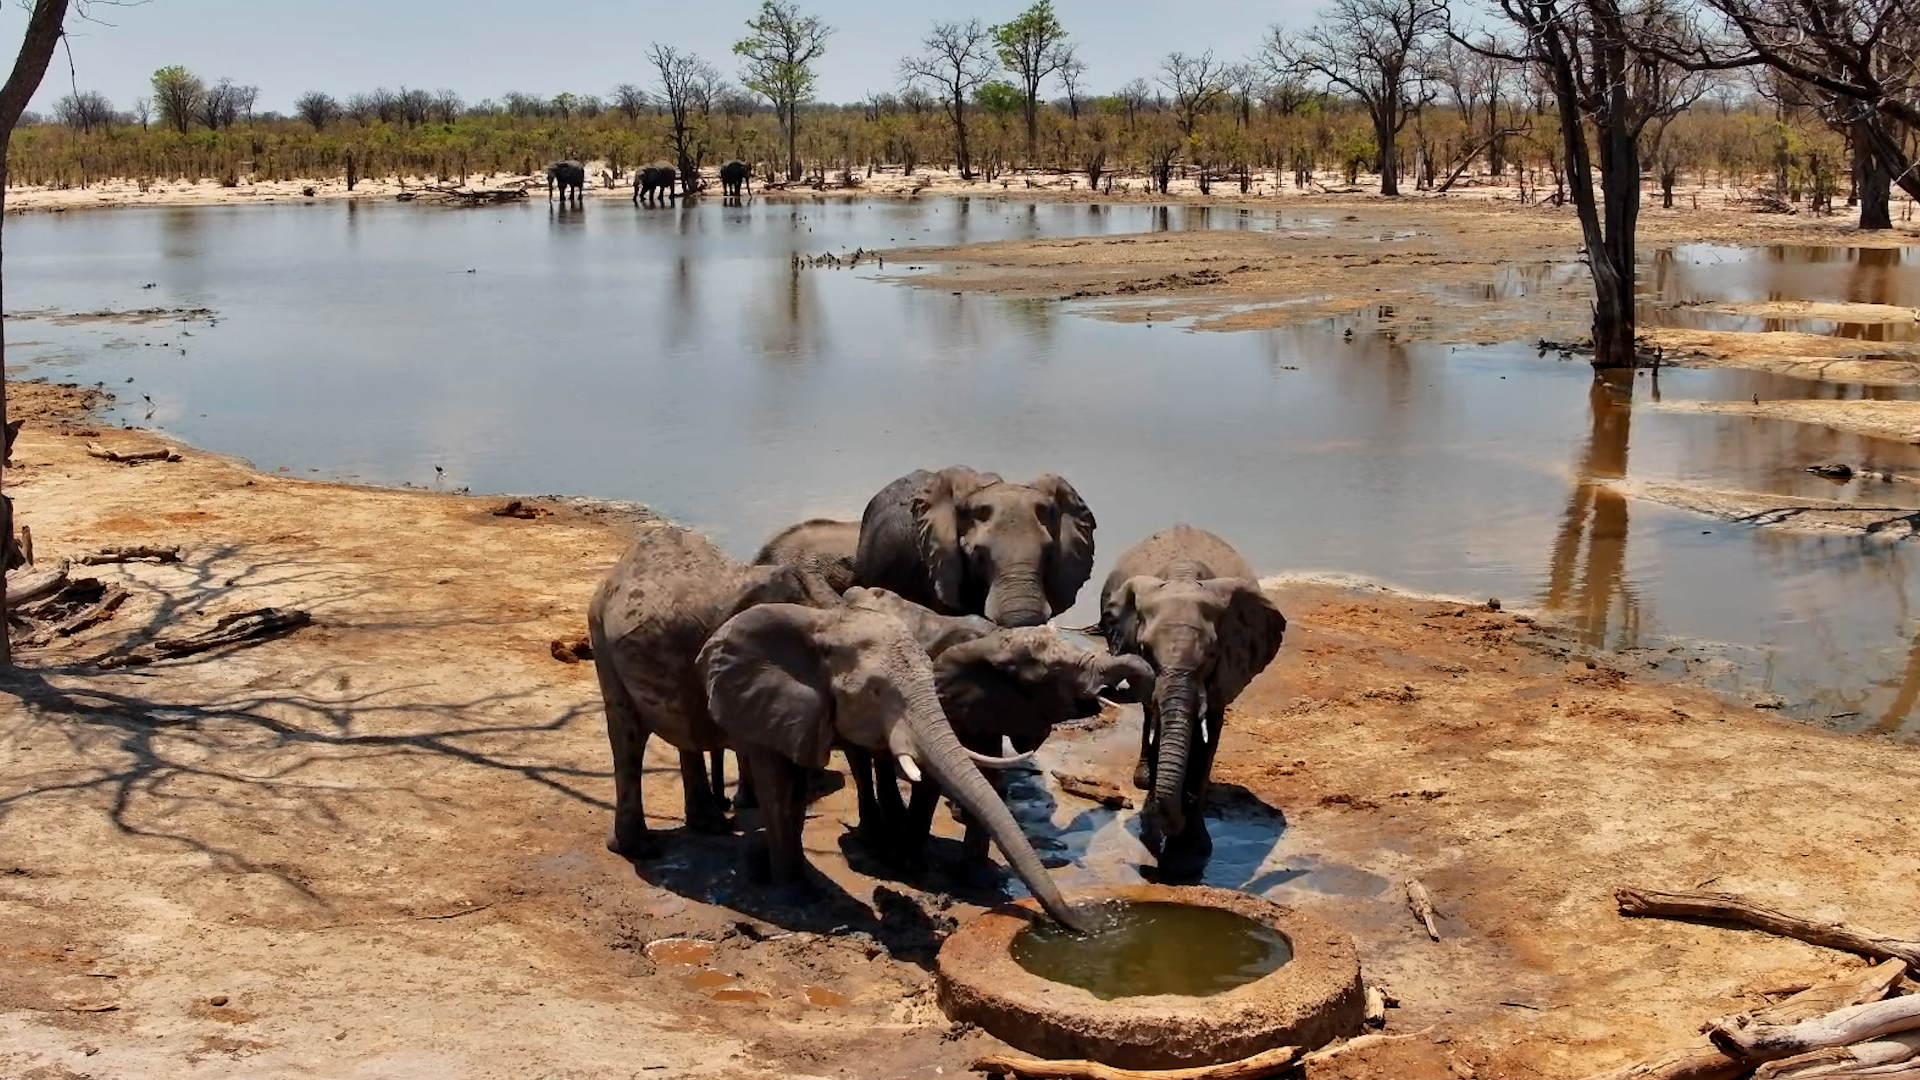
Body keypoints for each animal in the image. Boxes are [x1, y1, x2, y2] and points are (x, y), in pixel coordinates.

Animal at [841, 587, 1154, 872]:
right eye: (1055, 673)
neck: (996, 640)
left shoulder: (987, 703)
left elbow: (988, 774)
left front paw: (976, 872)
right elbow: (933, 777)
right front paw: (910, 866)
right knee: (858, 758)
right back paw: (873, 837)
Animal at [1099, 525, 1286, 880]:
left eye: (1212, 653)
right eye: (1144, 650)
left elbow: (1209, 736)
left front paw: (1187, 858)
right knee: (1150, 712)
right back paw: (1146, 778)